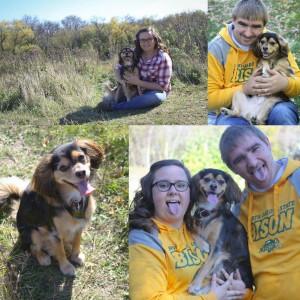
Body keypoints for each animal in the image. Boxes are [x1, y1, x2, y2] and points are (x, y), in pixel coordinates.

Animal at [0, 141, 104, 276]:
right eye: (63, 168)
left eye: (81, 157)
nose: (81, 172)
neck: (71, 199)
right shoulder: (55, 233)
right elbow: (60, 251)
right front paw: (66, 267)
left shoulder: (79, 226)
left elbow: (77, 241)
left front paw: (76, 256)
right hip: (33, 232)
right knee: (33, 248)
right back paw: (43, 257)